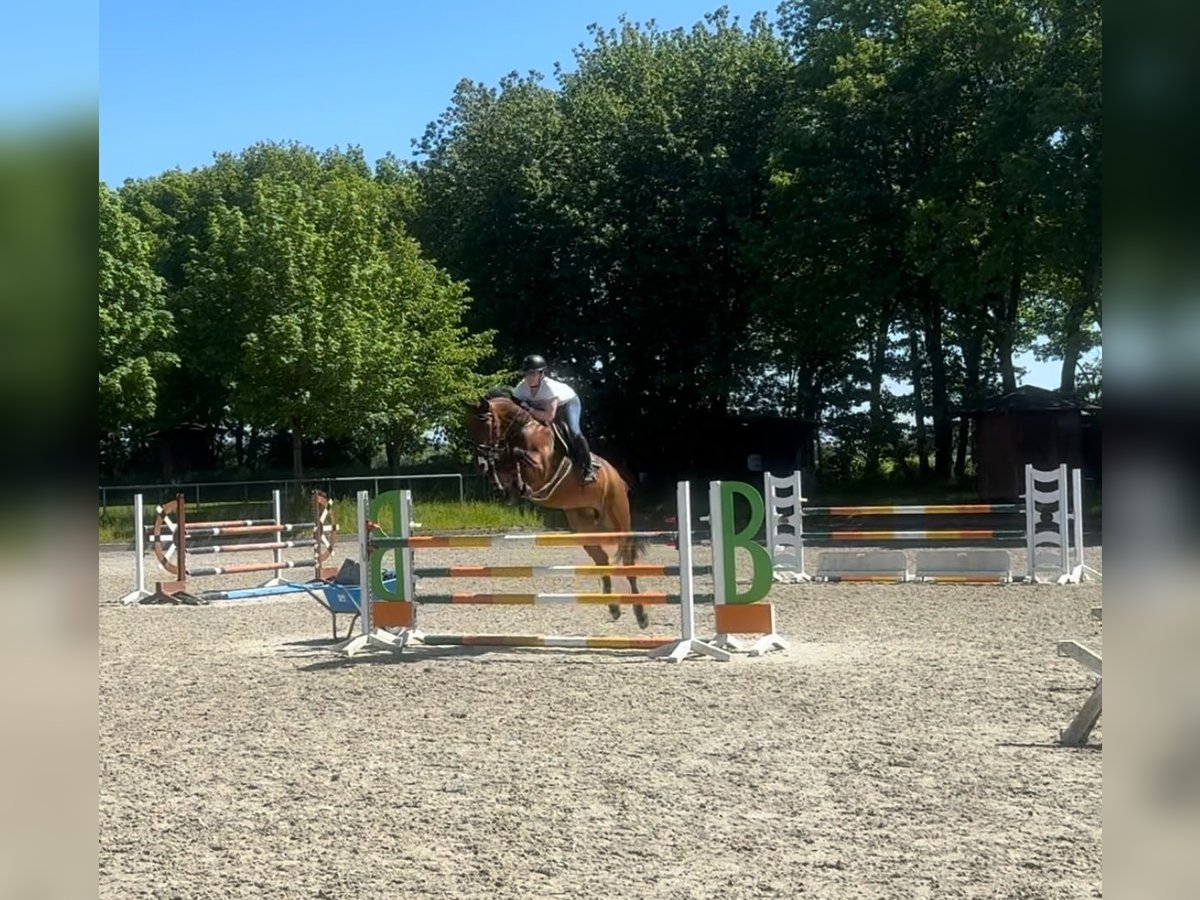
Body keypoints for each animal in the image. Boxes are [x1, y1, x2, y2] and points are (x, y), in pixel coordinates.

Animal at [468, 391, 648, 628]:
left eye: (486, 422)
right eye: (470, 427)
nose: (479, 462)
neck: (522, 429)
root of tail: (618, 478)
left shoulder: (541, 468)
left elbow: (517, 454)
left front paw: (518, 484)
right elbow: (505, 463)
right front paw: (502, 485)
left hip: (618, 521)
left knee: (628, 562)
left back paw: (641, 615)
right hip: (583, 527)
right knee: (601, 558)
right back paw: (613, 608)